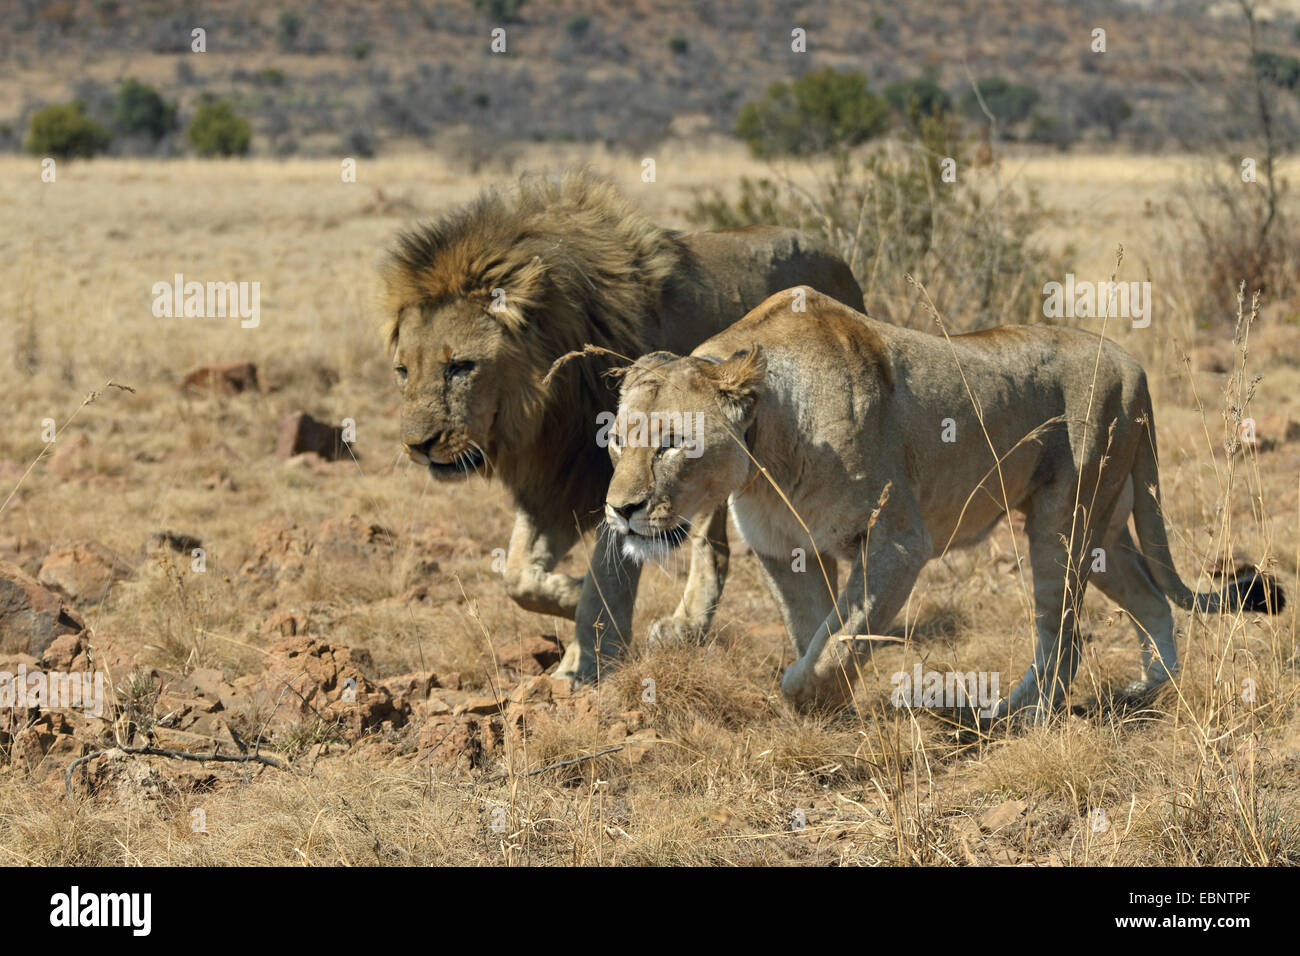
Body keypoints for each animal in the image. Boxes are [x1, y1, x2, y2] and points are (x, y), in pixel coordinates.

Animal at [382, 170, 863, 681]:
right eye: (402, 371)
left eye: (460, 367)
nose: (418, 445)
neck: (546, 410)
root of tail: (839, 258)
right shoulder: (556, 484)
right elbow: (518, 575)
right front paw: (571, 596)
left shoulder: (617, 480)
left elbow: (607, 579)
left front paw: (585, 663)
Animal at [603, 286, 1284, 717]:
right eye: (615, 439)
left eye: (672, 444)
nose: (620, 510)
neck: (766, 459)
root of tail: (1134, 367)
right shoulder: (784, 550)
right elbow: (814, 626)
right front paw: (825, 711)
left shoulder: (898, 541)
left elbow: (841, 635)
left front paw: (803, 694)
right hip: (1105, 533)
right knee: (1151, 601)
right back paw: (1147, 693)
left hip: (1062, 519)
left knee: (1063, 636)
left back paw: (1017, 717)